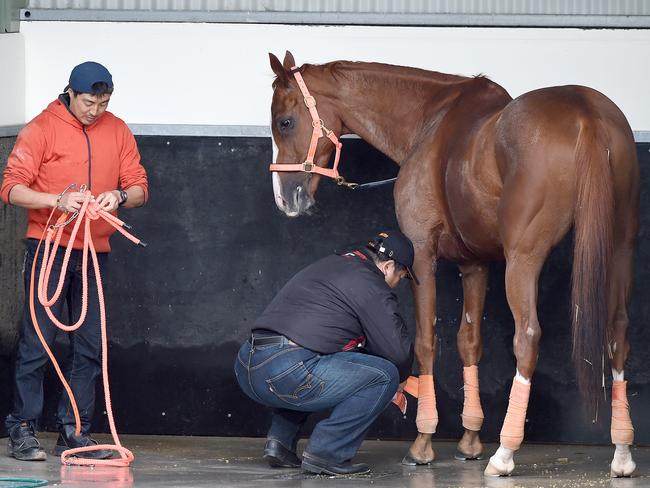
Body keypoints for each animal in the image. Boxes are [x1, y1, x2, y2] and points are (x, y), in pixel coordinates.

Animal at [266, 50, 636, 476]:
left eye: (285, 121)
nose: (285, 199)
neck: (431, 120)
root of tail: (585, 113)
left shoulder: (422, 255)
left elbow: (426, 342)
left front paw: (423, 443)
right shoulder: (475, 265)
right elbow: (468, 341)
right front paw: (470, 439)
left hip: (524, 260)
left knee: (527, 338)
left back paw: (504, 454)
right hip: (618, 249)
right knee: (618, 334)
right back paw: (622, 452)